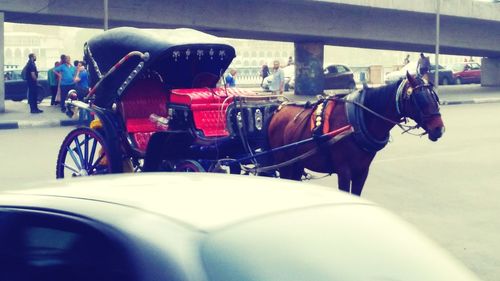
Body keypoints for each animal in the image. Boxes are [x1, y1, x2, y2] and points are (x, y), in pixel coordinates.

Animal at [268, 72, 444, 195]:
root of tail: (278, 110)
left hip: (297, 164)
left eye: (434, 97)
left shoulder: (362, 171)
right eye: (420, 99)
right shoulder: (344, 171)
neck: (357, 123)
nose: (439, 129)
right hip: (283, 163)